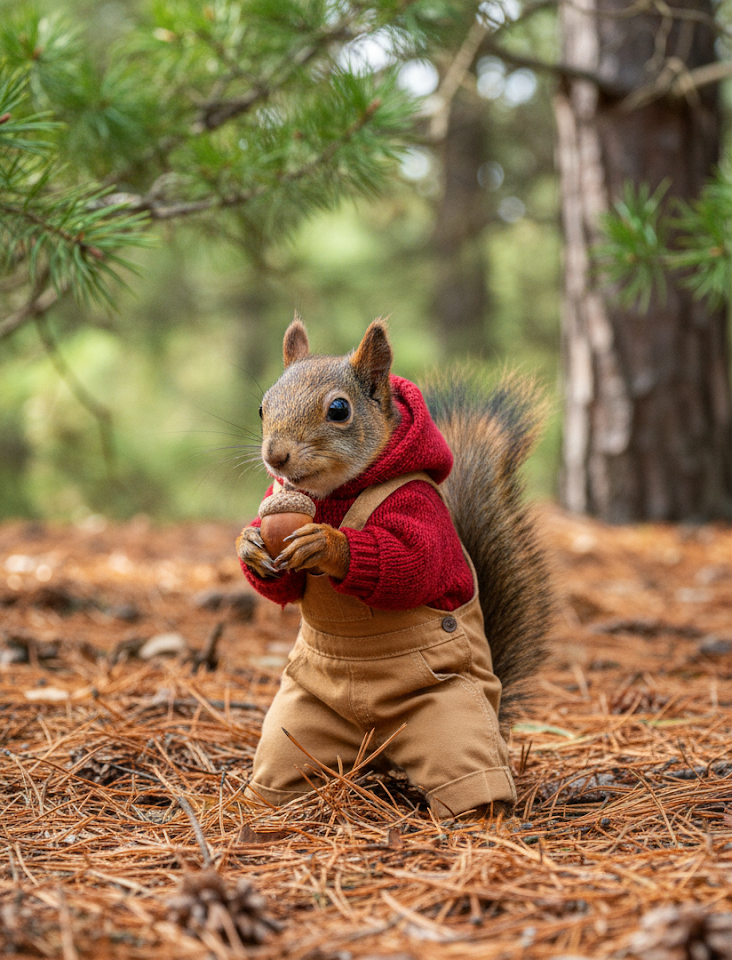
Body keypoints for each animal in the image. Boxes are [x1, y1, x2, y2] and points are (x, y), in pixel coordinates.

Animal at [236, 317, 552, 818]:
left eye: (339, 409)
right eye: (263, 407)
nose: (275, 457)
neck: (334, 493)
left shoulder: (419, 508)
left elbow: (414, 565)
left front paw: (329, 544)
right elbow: (281, 586)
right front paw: (248, 545)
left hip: (450, 717)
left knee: (468, 769)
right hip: (300, 726)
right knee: (286, 763)